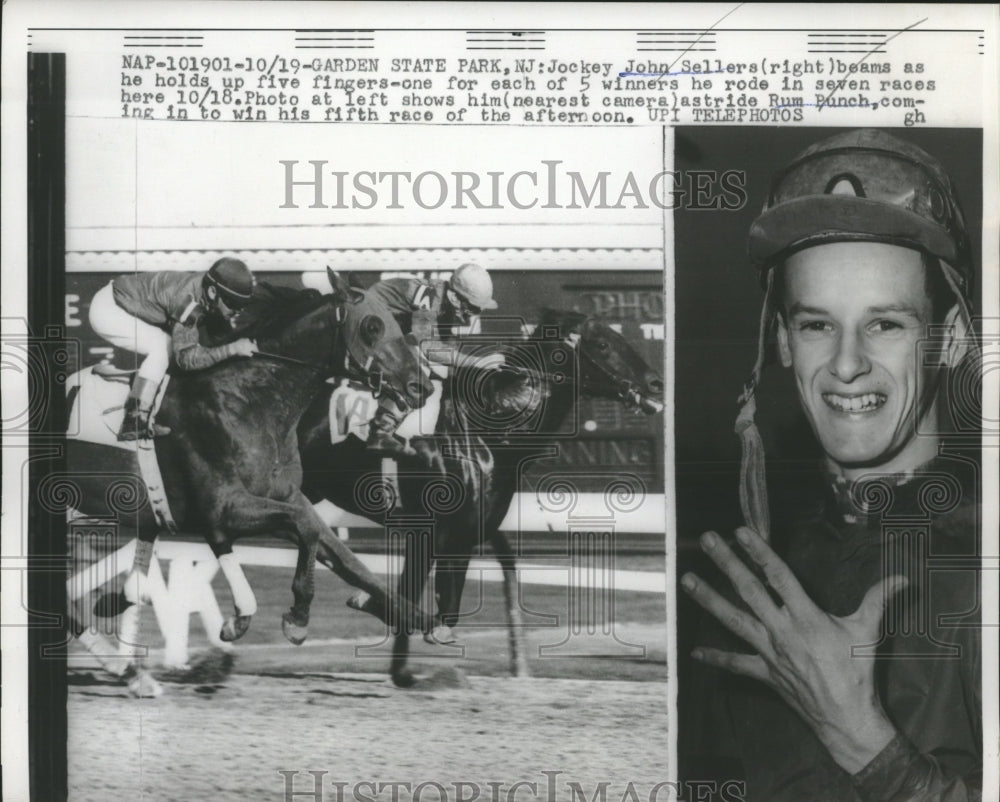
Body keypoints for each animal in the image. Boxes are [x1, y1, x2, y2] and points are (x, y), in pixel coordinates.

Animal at [73, 270, 434, 648]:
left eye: (396, 320)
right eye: (372, 327)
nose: (421, 386)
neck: (249, 399)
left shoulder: (286, 497)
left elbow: (342, 555)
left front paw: (416, 616)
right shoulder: (223, 508)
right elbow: (303, 532)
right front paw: (293, 617)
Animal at [296, 310, 664, 684]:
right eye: (603, 344)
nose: (655, 384)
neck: (487, 433)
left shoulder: (466, 532)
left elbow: (446, 605)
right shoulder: (428, 527)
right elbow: (410, 592)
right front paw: (377, 616)